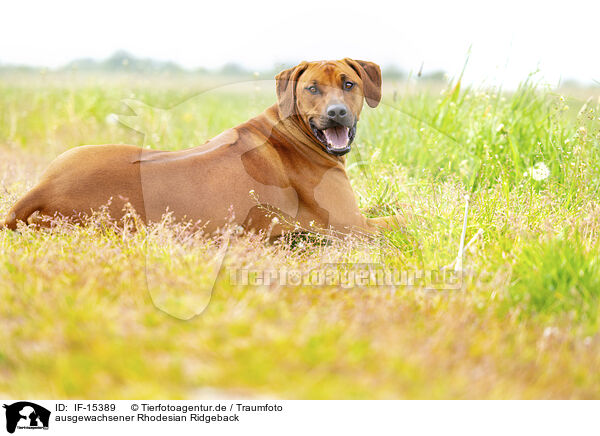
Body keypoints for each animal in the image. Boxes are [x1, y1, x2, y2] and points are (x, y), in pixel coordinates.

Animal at [1, 59, 404, 237]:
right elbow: (404, 219)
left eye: (348, 84)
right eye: (312, 89)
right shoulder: (351, 225)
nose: (336, 113)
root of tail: (42, 189)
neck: (292, 130)